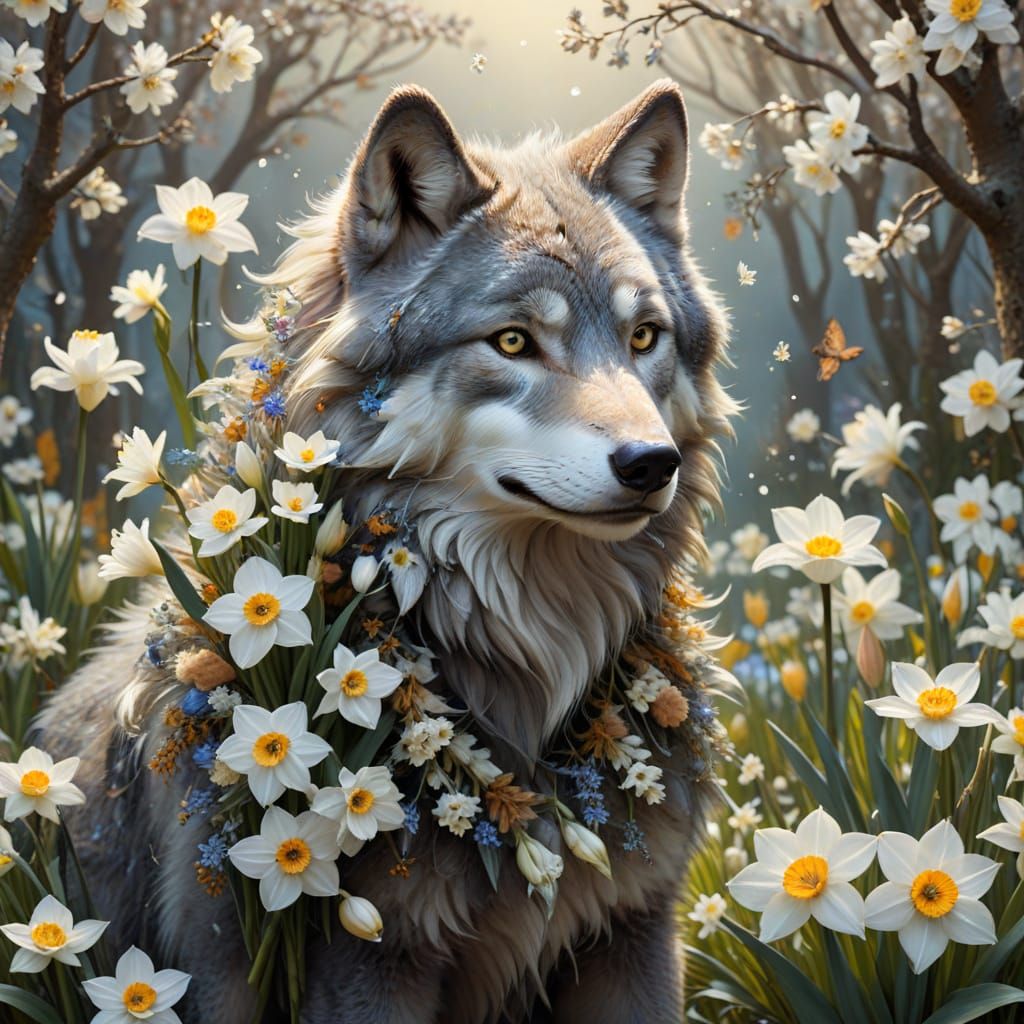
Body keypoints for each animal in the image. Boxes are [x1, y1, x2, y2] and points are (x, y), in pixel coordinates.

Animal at [40, 79, 736, 1023]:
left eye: (643, 338)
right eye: (513, 341)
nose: (651, 464)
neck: (529, 673)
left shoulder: (632, 929)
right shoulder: (368, 962)